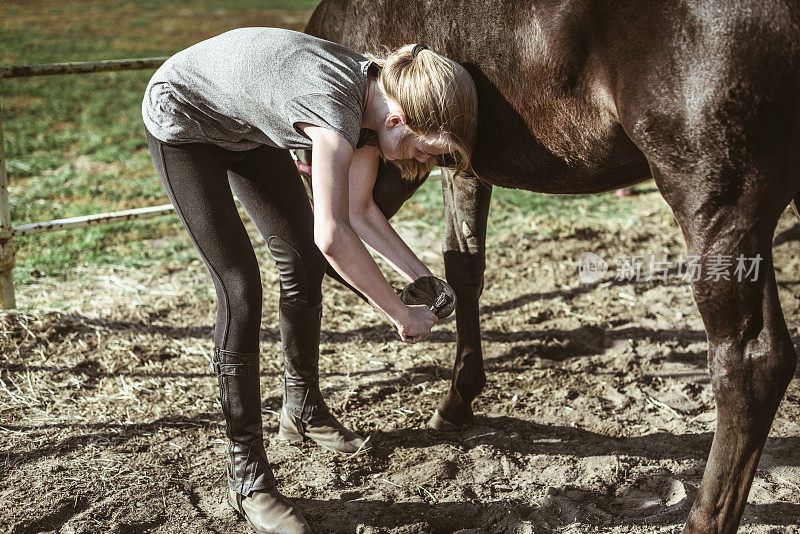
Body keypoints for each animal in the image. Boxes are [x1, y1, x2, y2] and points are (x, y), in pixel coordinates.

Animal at [304, 2, 796, 532]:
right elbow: (466, 269)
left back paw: (704, 517)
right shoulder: (462, 164)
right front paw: (460, 398)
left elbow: (458, 264)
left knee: (750, 366)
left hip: (715, 203)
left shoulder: (448, 159)